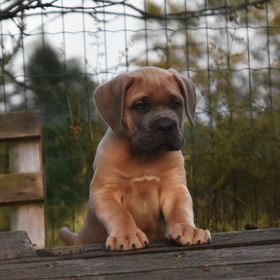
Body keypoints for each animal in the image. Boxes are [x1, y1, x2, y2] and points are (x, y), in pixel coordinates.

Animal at [60, 66, 211, 250]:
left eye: (176, 103)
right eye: (140, 105)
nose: (166, 125)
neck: (144, 156)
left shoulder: (174, 188)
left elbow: (180, 210)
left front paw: (189, 229)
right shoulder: (105, 191)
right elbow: (120, 213)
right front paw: (127, 234)